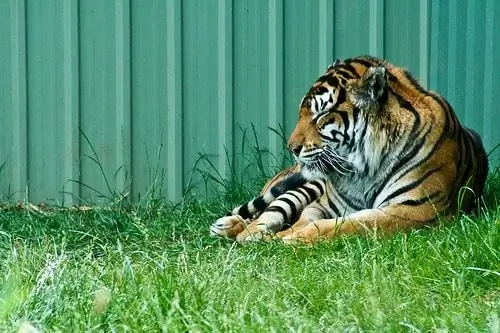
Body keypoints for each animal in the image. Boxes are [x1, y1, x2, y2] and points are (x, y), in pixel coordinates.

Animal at [211, 53, 488, 241]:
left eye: (321, 115)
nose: (292, 147)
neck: (364, 169)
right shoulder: (325, 203)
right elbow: (303, 216)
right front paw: (281, 234)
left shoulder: (414, 210)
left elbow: (347, 225)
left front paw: (289, 237)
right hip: (307, 185)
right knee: (268, 210)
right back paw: (234, 228)